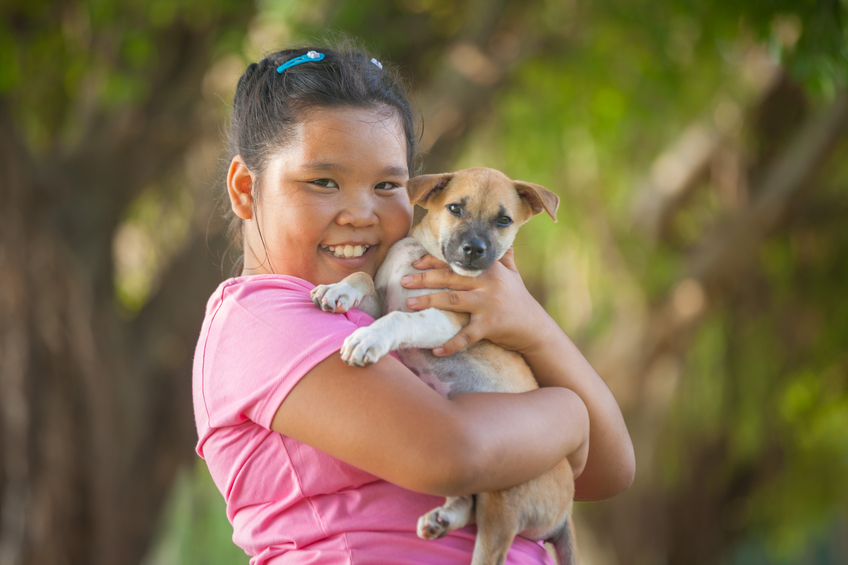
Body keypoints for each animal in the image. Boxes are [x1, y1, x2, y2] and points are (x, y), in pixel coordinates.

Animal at [308, 166, 580, 564]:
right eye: (455, 208)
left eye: (504, 220)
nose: (475, 250)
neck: (424, 254)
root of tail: (567, 512)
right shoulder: (381, 299)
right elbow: (363, 278)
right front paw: (337, 289)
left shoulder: (450, 320)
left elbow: (398, 320)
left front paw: (368, 339)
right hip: (471, 472)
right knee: (467, 499)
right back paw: (442, 518)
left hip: (504, 500)